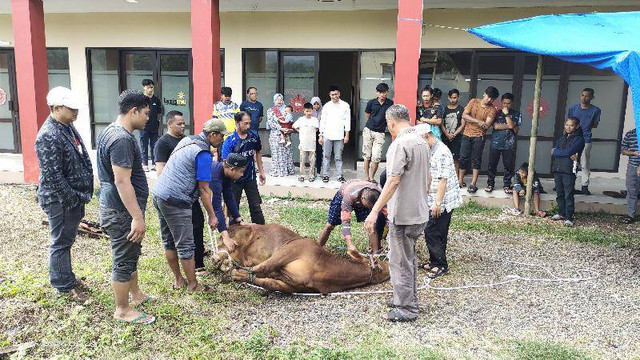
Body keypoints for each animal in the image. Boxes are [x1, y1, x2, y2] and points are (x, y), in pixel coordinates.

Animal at [211, 224, 390, 294]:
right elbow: (262, 268)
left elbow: (266, 281)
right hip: (236, 238)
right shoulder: (291, 250)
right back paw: (219, 259)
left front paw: (236, 274)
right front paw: (232, 274)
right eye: (380, 261)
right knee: (223, 248)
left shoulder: (291, 285)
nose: (390, 261)